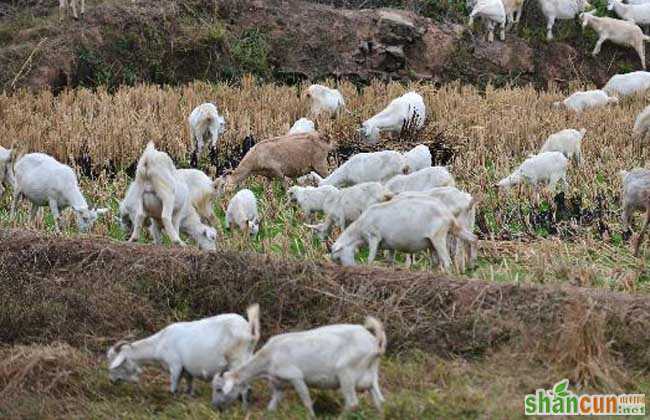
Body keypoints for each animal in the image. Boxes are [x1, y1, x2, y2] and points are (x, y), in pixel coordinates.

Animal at [106, 306, 258, 398]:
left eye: (117, 363)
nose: (111, 381)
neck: (159, 342)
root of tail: (249, 330)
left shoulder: (175, 365)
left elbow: (174, 385)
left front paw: (173, 396)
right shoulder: (187, 369)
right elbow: (189, 383)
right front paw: (189, 396)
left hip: (237, 359)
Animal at [211, 316, 384, 416]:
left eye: (219, 389)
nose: (215, 407)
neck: (269, 357)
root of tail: (375, 344)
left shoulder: (296, 377)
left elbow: (307, 402)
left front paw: (311, 416)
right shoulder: (279, 385)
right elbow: (272, 407)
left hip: (346, 373)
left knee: (352, 403)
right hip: (371, 376)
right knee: (379, 401)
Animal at [330, 198, 476, 272]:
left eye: (338, 258)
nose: (350, 268)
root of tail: (448, 215)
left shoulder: (373, 237)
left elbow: (370, 258)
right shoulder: (389, 245)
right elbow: (390, 261)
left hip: (438, 237)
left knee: (447, 261)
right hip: (434, 241)